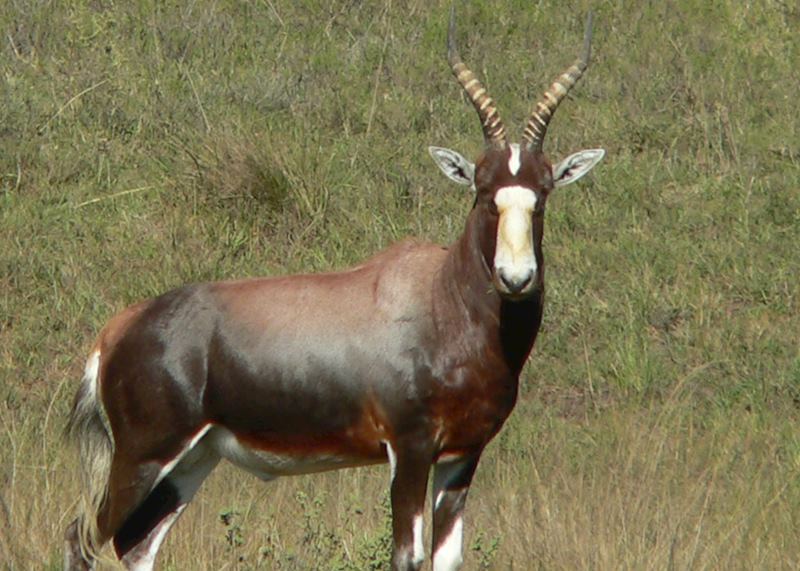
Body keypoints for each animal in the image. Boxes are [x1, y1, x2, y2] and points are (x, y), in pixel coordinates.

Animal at [64, 7, 604, 571]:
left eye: (543, 191)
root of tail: (117, 329)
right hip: (142, 455)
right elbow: (407, 555)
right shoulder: (409, 447)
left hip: (195, 457)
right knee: (82, 537)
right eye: (482, 190)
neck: (440, 297)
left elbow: (446, 559)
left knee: (137, 545)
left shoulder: (462, 455)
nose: (515, 279)